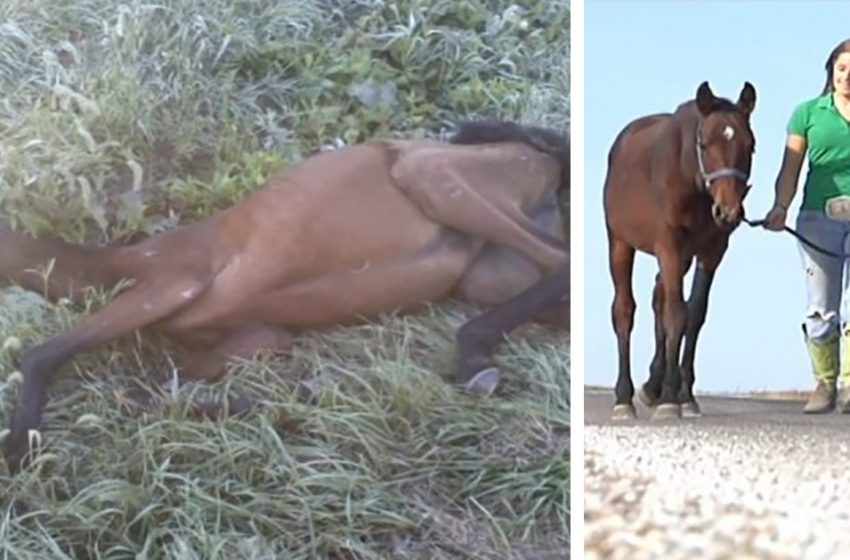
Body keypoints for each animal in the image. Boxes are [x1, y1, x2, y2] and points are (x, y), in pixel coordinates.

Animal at [3, 120, 568, 474]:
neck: (112, 264)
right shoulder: (257, 336)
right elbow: (145, 394)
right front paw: (282, 402)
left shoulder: (174, 278)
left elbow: (44, 355)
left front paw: (20, 445)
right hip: (484, 272)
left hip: (435, 178)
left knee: (562, 264)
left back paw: (472, 356)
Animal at [604, 82, 756, 420]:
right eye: (704, 143)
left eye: (750, 145)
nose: (728, 212)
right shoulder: (669, 246)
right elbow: (676, 313)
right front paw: (670, 400)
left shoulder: (710, 252)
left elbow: (694, 314)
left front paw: (684, 396)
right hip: (620, 243)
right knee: (624, 310)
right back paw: (624, 398)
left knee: (657, 298)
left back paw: (652, 385)